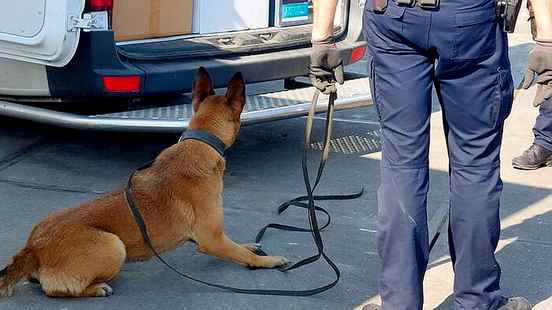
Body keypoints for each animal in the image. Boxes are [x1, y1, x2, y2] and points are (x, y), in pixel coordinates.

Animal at [0, 67, 286, 298]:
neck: (201, 141)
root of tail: (33, 247)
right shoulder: (211, 239)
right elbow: (241, 254)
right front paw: (268, 261)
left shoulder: (212, 239)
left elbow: (238, 247)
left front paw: (252, 246)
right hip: (114, 245)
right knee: (55, 290)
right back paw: (97, 288)